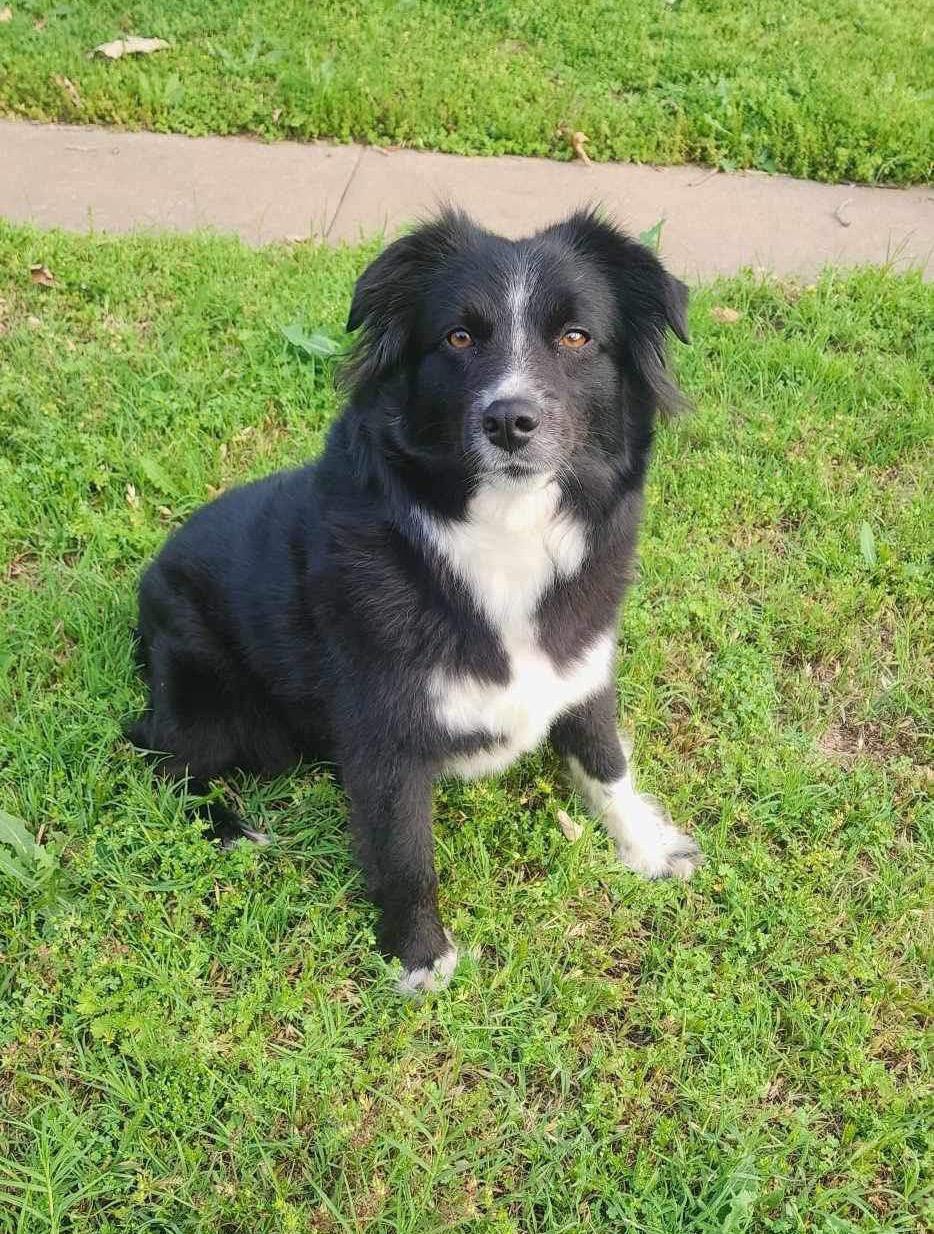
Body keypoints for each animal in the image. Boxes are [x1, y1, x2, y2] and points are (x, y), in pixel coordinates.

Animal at [128, 207, 702, 993]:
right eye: (458, 337)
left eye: (576, 337)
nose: (510, 421)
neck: (502, 529)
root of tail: (149, 578)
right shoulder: (383, 728)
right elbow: (405, 852)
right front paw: (419, 958)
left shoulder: (582, 665)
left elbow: (605, 760)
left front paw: (649, 845)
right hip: (213, 700)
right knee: (160, 757)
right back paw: (235, 829)